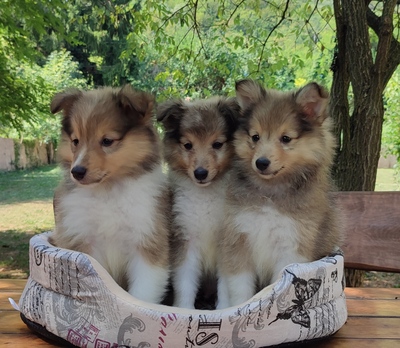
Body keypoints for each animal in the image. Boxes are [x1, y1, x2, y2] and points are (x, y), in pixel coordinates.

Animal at [49, 84, 170, 304]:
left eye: (107, 140)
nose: (76, 172)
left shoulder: (147, 242)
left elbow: (142, 293)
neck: (107, 190)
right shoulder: (83, 242)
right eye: (75, 141)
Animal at [158, 94, 241, 308]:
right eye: (188, 145)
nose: (200, 173)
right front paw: (184, 309)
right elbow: (185, 284)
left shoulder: (226, 244)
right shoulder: (186, 240)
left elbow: (225, 286)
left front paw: (223, 309)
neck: (205, 196)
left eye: (217, 144)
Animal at [217, 80, 342, 308]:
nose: (261, 162)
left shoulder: (290, 248)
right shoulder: (240, 241)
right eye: (255, 137)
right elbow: (240, 291)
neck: (271, 193)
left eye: (285, 138)